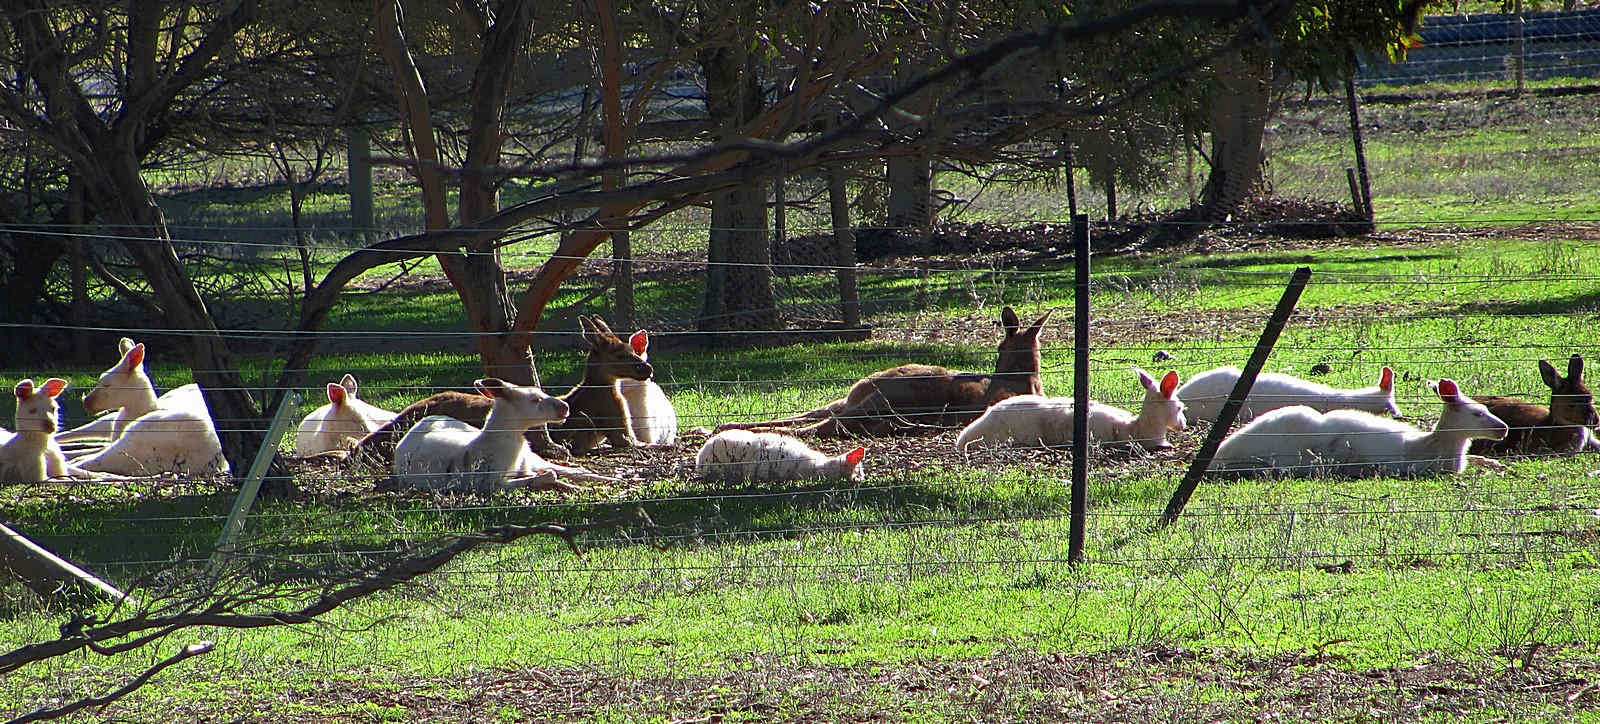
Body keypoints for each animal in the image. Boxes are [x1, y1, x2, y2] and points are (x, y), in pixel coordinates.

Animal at [391, 378, 614, 493]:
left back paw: (611, 477)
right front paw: (575, 487)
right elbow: (544, 477)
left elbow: (555, 473)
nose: (565, 408)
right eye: (535, 400)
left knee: (571, 469)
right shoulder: (491, 483)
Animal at [716, 306, 1052, 438]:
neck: (1024, 377)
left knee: (815, 418)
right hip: (879, 400)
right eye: (998, 347)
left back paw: (724, 427)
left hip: (858, 402)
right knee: (820, 422)